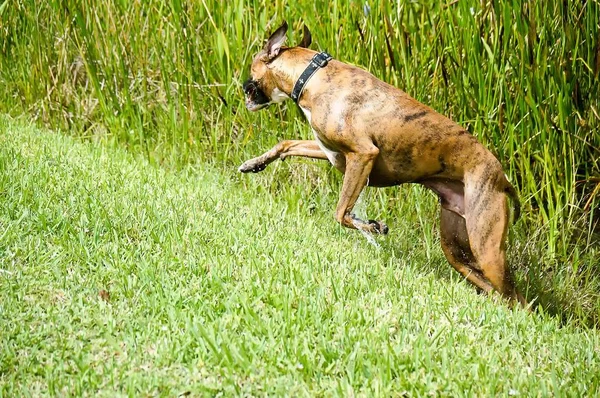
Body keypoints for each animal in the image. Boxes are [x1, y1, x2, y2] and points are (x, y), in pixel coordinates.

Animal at [239, 21, 524, 308]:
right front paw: (254, 163)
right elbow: (286, 145)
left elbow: (342, 212)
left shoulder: (362, 155)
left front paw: (372, 226)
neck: (311, 76)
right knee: (497, 290)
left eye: (252, 67)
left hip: (486, 248)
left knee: (517, 298)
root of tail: (503, 179)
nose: (242, 87)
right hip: (457, 250)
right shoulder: (331, 152)